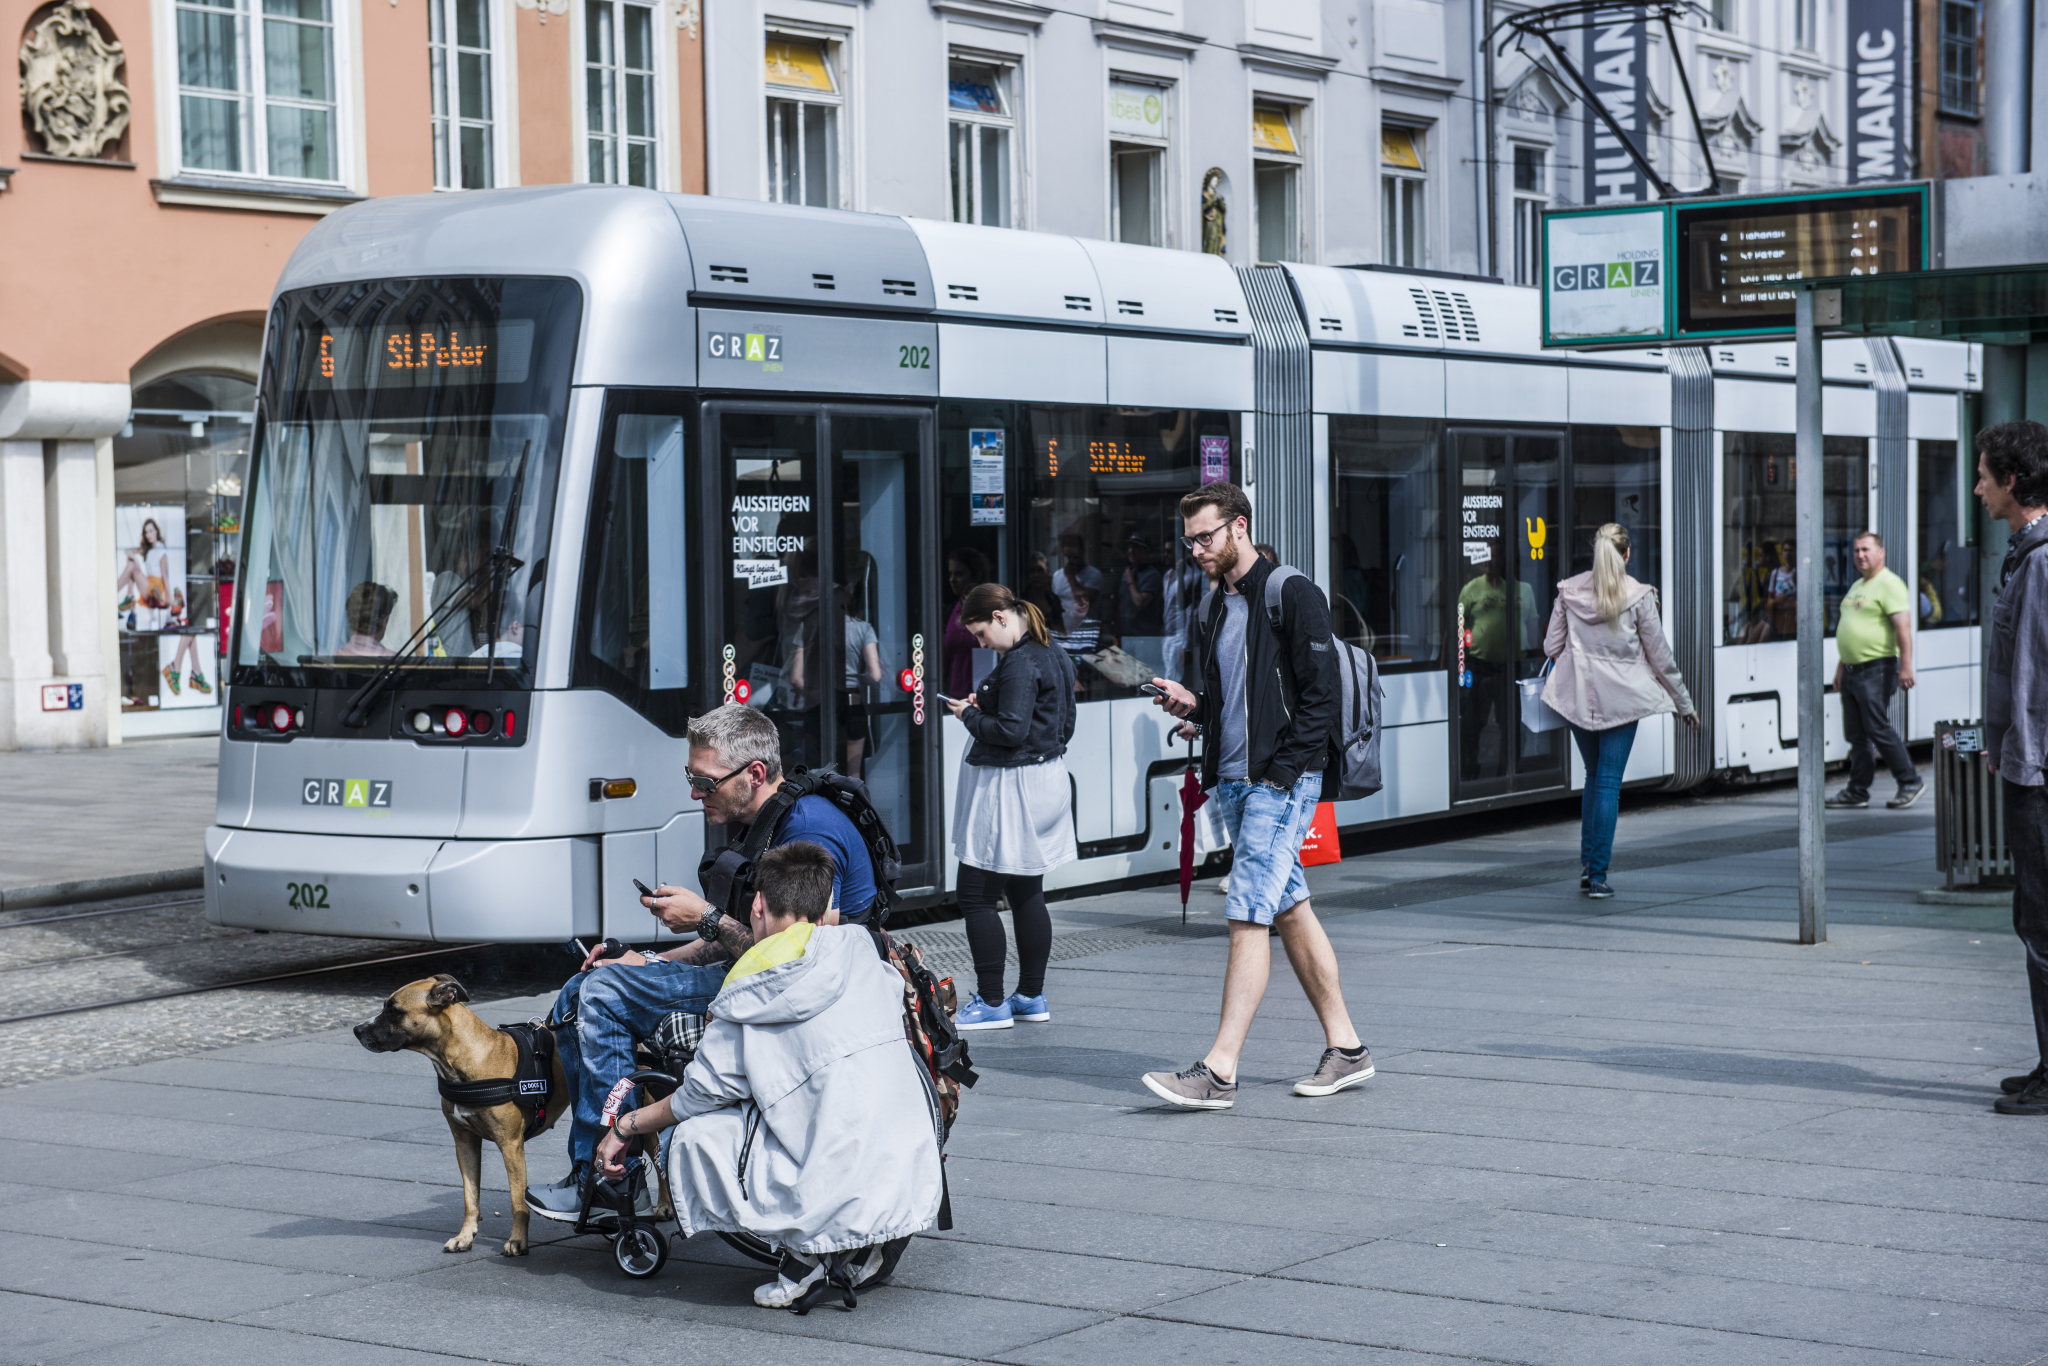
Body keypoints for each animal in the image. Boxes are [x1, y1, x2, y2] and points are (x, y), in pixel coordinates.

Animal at [350, 978, 561, 1253]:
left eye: (393, 1010)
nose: (356, 1029)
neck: (462, 1062)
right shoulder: (464, 1143)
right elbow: (470, 1196)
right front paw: (465, 1236)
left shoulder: (511, 1145)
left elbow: (518, 1201)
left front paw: (517, 1240)